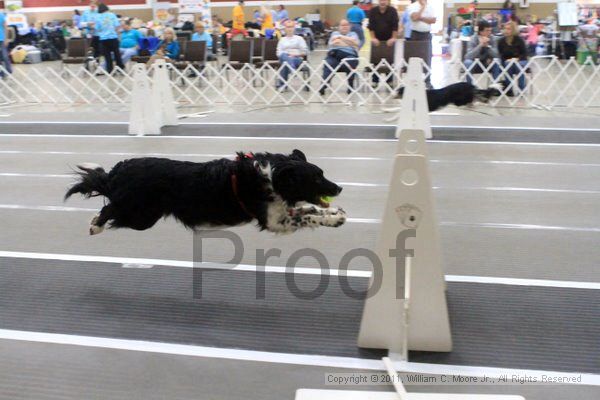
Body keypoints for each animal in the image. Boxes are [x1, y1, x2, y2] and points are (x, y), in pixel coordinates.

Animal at [63, 152, 344, 236]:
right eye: (316, 177)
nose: (338, 188)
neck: (272, 177)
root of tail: (119, 169)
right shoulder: (274, 221)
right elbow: (306, 216)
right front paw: (333, 216)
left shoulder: (281, 211)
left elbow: (309, 210)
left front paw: (334, 214)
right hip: (139, 213)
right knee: (109, 208)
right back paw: (95, 225)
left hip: (143, 216)